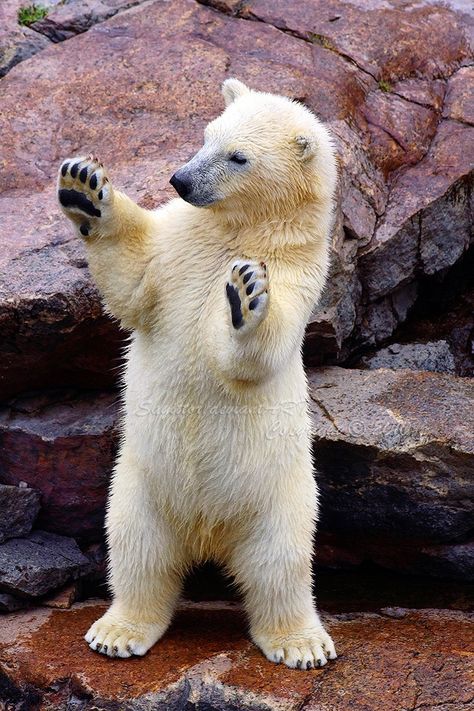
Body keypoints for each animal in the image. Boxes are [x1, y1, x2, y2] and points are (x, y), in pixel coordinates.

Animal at [57, 80, 336, 672]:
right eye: (207, 135)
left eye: (238, 156)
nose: (180, 180)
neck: (239, 227)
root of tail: (208, 538)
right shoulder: (178, 247)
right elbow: (135, 281)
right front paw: (84, 187)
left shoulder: (301, 272)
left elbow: (257, 355)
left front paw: (245, 293)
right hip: (138, 485)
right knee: (137, 551)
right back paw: (119, 630)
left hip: (281, 494)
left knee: (282, 565)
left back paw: (301, 643)